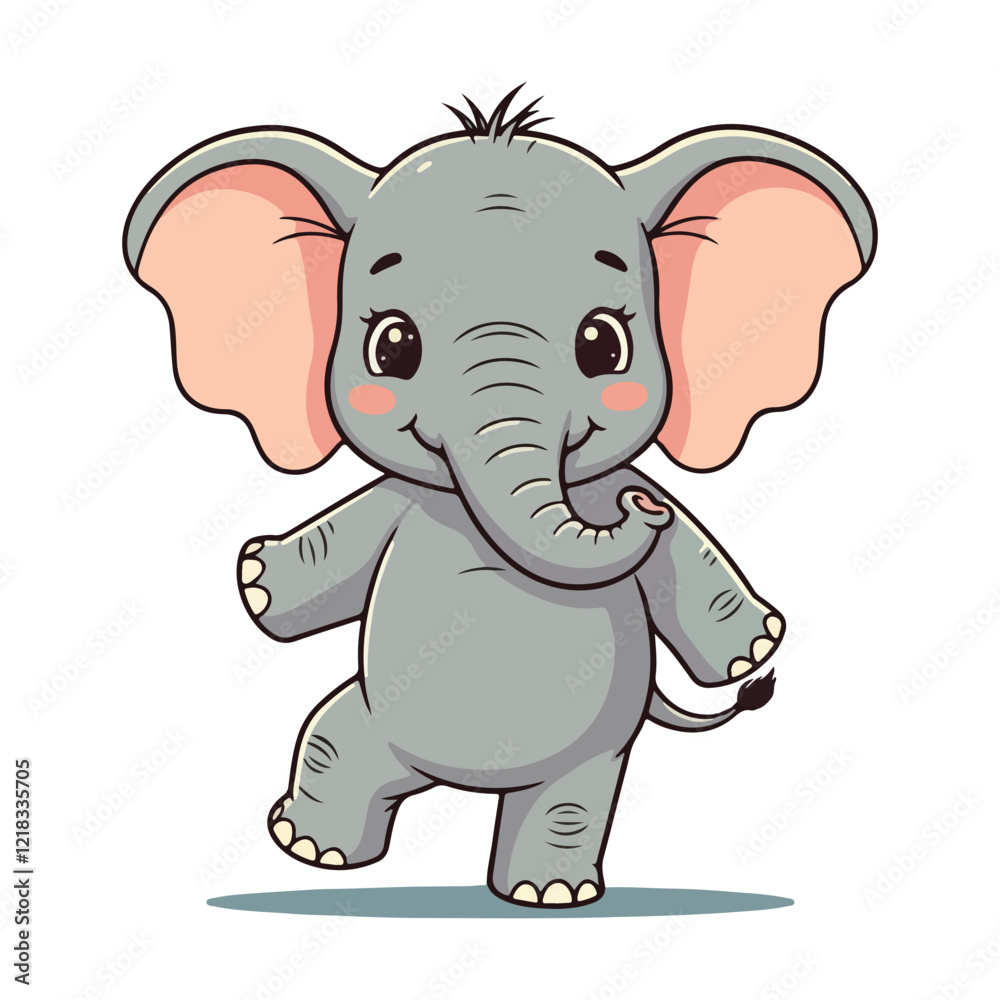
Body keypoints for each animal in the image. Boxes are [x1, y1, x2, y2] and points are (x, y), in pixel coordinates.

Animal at [123, 87, 875, 907]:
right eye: (392, 346)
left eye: (603, 344)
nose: (639, 507)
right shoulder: (400, 501)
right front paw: (257, 582)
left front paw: (754, 650)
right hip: (373, 720)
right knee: (333, 741)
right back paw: (316, 852)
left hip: (594, 753)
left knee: (569, 800)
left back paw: (547, 896)